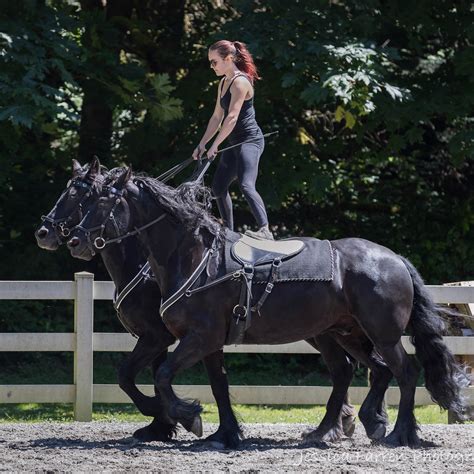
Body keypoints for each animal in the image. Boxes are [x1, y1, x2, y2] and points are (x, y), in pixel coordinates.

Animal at [37, 159, 370, 448]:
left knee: (350, 368)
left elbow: (133, 376)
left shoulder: (159, 336)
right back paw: (340, 424)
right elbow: (168, 378)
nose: (47, 234)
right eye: (75, 195)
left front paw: (170, 417)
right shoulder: (167, 338)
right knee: (345, 368)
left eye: (84, 197)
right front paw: (167, 423)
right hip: (323, 333)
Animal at [65, 169, 466, 448]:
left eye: (103, 202)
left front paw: (188, 416)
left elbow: (162, 376)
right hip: (341, 334)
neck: (196, 257)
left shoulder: (195, 337)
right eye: (85, 200)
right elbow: (218, 385)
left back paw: (400, 433)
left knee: (405, 372)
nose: (74, 240)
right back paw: (335, 429)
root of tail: (393, 258)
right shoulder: (207, 342)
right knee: (360, 372)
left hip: (382, 334)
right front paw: (224, 433)